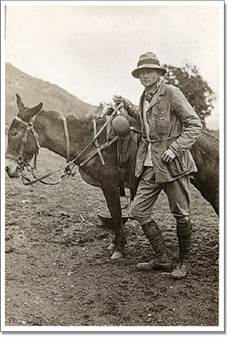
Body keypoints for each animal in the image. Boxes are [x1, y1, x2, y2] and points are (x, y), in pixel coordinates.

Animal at [5, 95, 218, 260]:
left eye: (14, 133)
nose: (8, 168)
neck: (91, 140)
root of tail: (213, 140)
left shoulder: (110, 185)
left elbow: (115, 214)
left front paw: (120, 248)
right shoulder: (110, 187)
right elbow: (115, 215)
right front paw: (115, 242)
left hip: (211, 188)